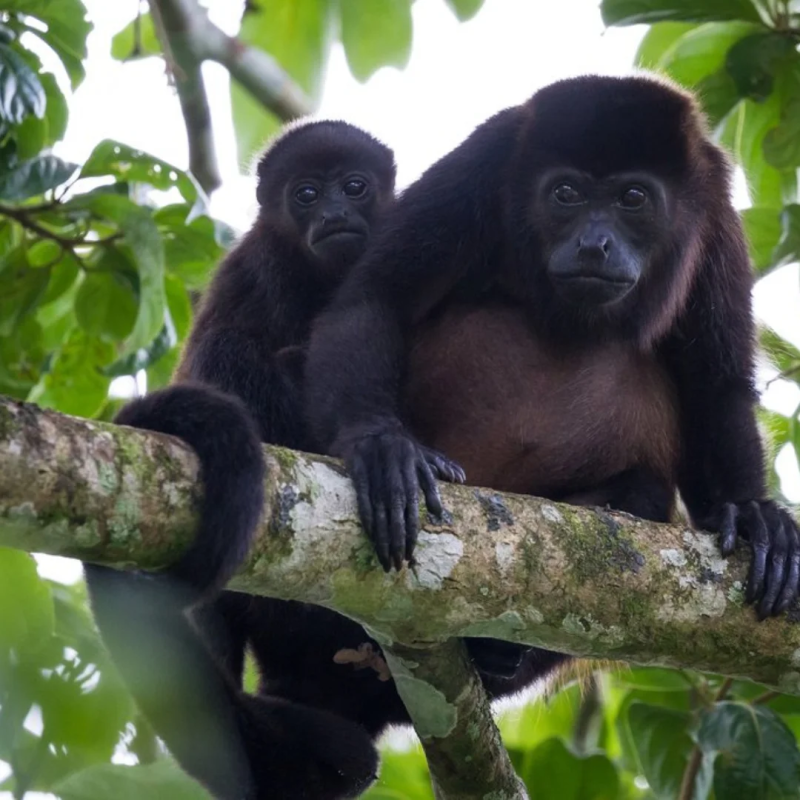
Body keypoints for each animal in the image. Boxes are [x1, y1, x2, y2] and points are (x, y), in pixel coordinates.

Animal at [305, 75, 800, 707]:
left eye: (632, 198)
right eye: (566, 193)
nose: (594, 244)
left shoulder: (714, 207)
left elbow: (714, 379)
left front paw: (753, 512)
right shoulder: (488, 157)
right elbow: (376, 296)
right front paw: (381, 446)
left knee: (643, 489)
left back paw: (494, 653)